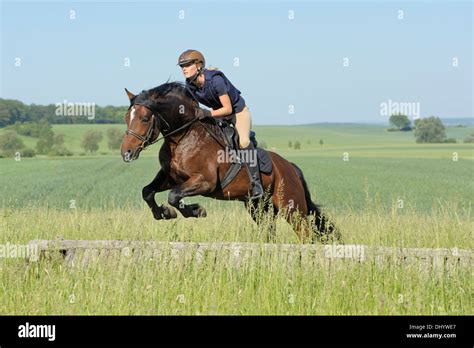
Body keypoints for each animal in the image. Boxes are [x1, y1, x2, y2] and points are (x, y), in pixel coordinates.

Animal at [120, 83, 338, 243]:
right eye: (126, 117)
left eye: (145, 118)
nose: (126, 153)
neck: (183, 137)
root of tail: (291, 167)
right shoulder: (170, 177)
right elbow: (148, 192)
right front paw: (163, 213)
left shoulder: (205, 182)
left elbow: (174, 196)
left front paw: (196, 211)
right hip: (259, 208)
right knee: (270, 232)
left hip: (291, 207)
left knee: (306, 233)